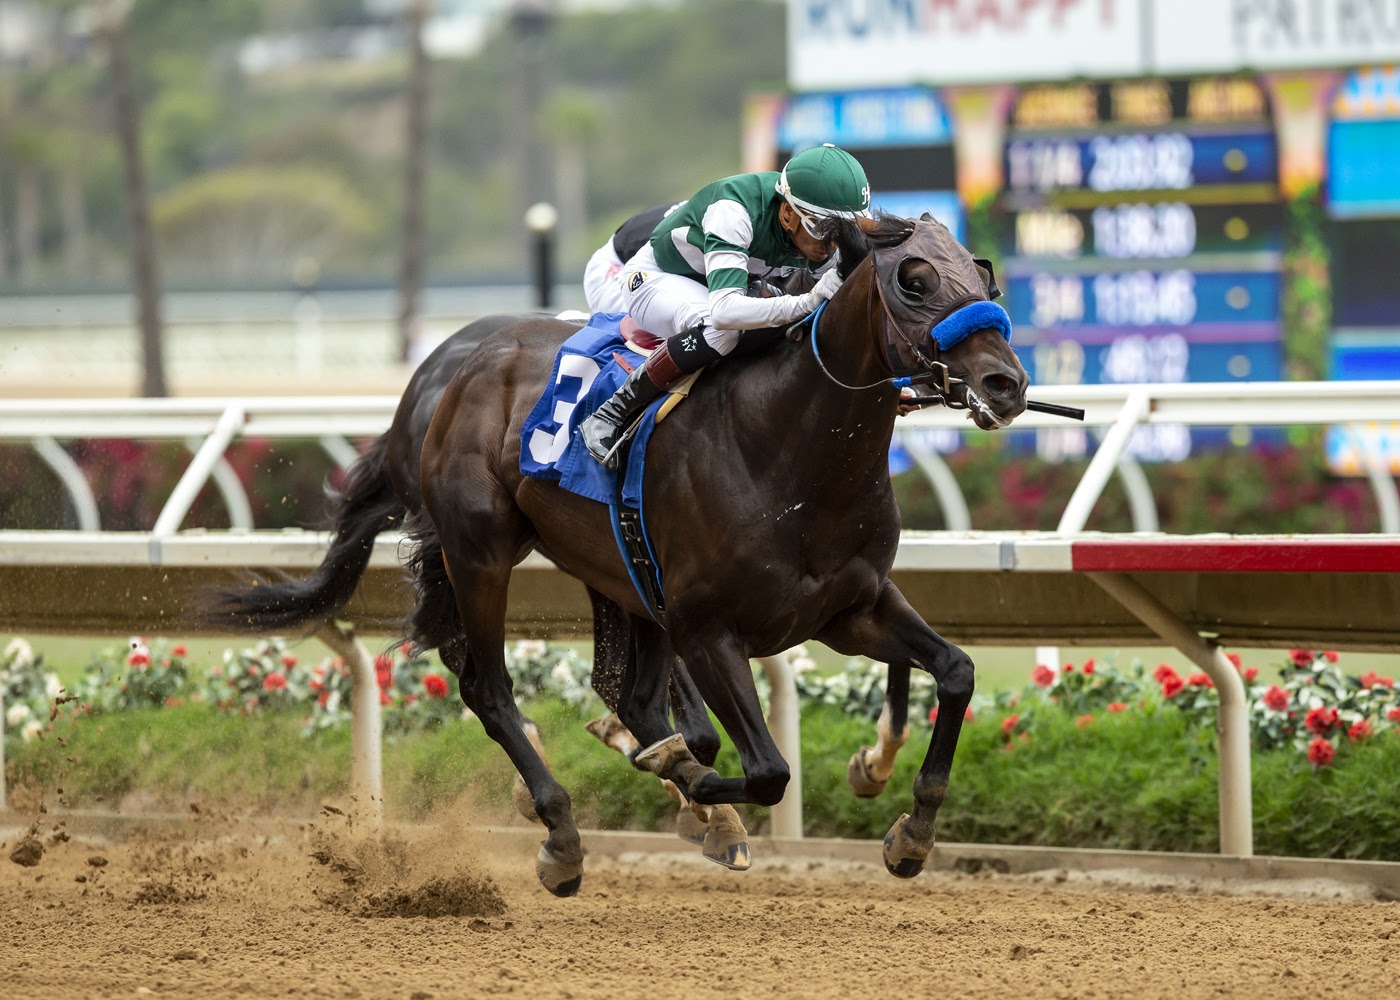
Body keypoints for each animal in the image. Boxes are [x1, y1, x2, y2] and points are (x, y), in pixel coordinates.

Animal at [405, 211, 1029, 895]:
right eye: (914, 282)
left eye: (984, 276)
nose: (1006, 383)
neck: (786, 451)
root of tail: (473, 360)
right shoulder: (707, 631)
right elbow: (766, 771)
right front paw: (688, 784)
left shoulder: (850, 611)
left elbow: (956, 672)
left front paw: (911, 832)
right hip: (480, 554)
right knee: (489, 690)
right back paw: (563, 834)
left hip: (625, 577)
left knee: (634, 698)